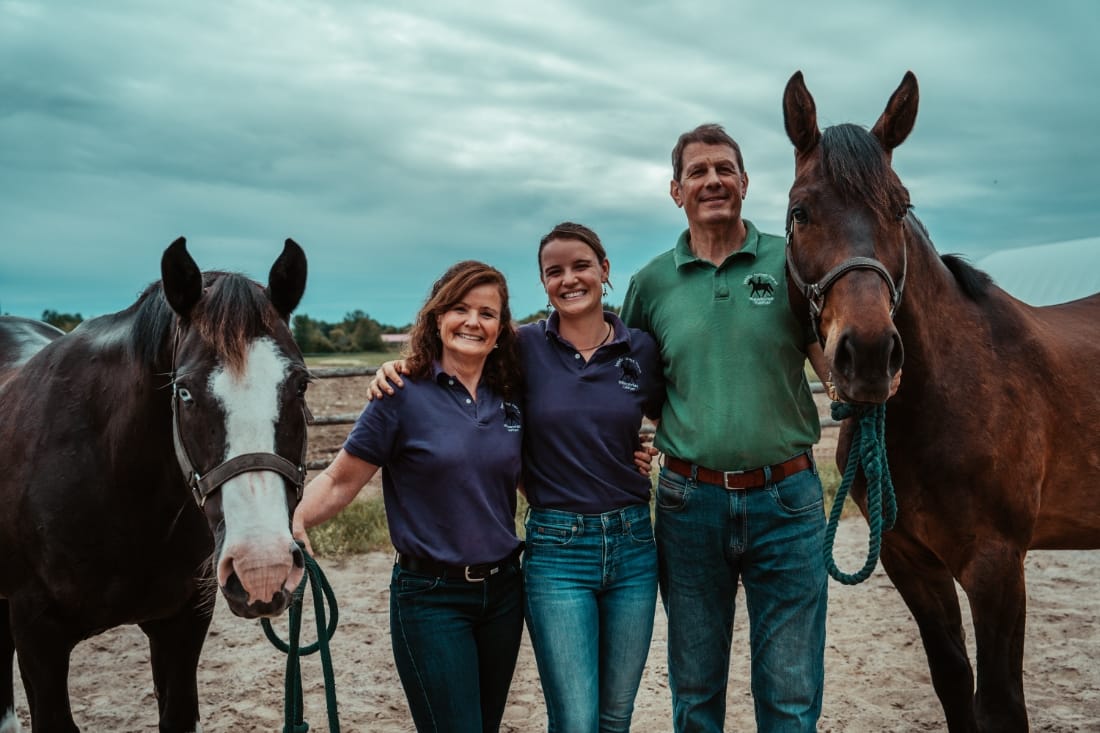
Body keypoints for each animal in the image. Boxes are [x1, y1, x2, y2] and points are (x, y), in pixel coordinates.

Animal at [783, 69, 1100, 730]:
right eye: (800, 212)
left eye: (900, 207)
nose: (870, 354)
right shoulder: (910, 559)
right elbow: (954, 680)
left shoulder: (997, 565)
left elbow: (1000, 703)